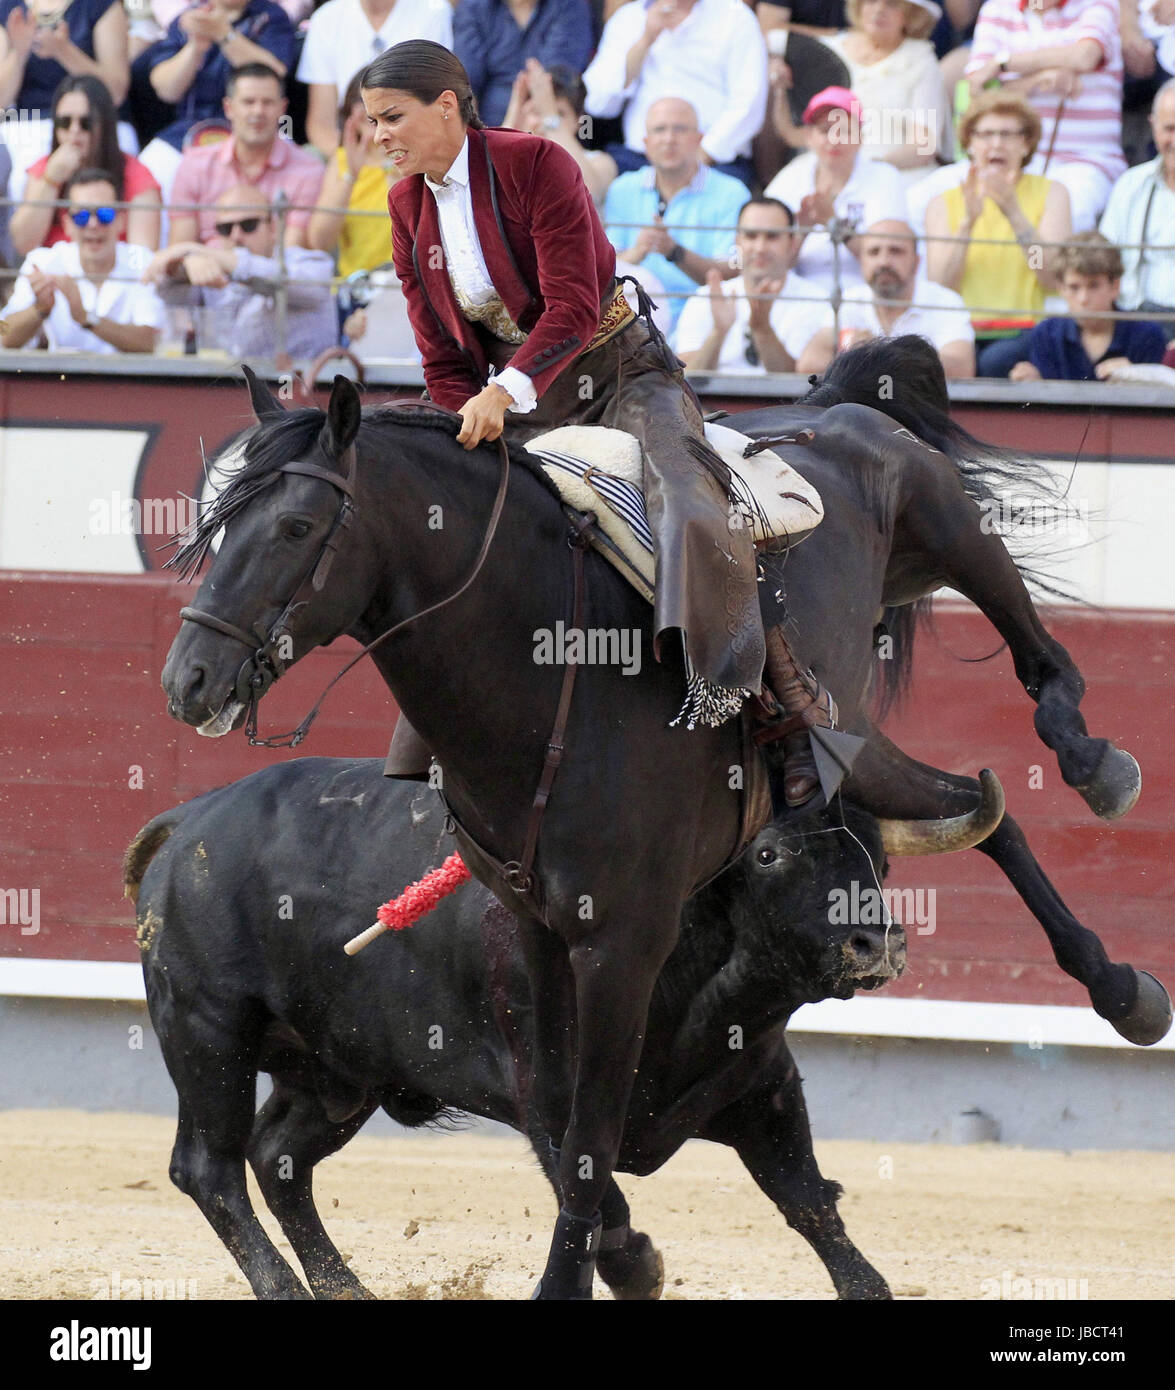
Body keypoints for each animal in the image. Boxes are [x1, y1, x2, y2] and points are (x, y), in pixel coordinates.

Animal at [160, 338, 1169, 1296]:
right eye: (215, 525)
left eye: (295, 525)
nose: (189, 682)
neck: (545, 682)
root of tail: (819, 406)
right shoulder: (541, 938)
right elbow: (568, 1120)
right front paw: (615, 1259)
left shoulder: (623, 945)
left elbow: (597, 1136)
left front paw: (578, 1278)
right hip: (849, 729)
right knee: (980, 810)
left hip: (941, 522)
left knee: (1028, 667)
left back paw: (1105, 833)